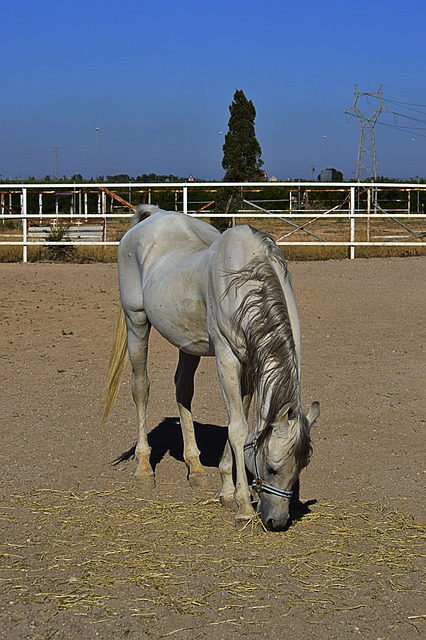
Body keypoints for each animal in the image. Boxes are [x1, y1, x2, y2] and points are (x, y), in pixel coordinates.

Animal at [101, 206, 318, 528]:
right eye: (271, 467)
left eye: (301, 467)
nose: (276, 522)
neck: (247, 280)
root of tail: (155, 215)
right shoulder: (227, 358)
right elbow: (238, 428)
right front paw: (243, 506)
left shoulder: (249, 364)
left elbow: (238, 423)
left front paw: (226, 491)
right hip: (136, 321)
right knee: (141, 389)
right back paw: (143, 470)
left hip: (186, 343)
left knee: (183, 391)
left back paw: (195, 468)